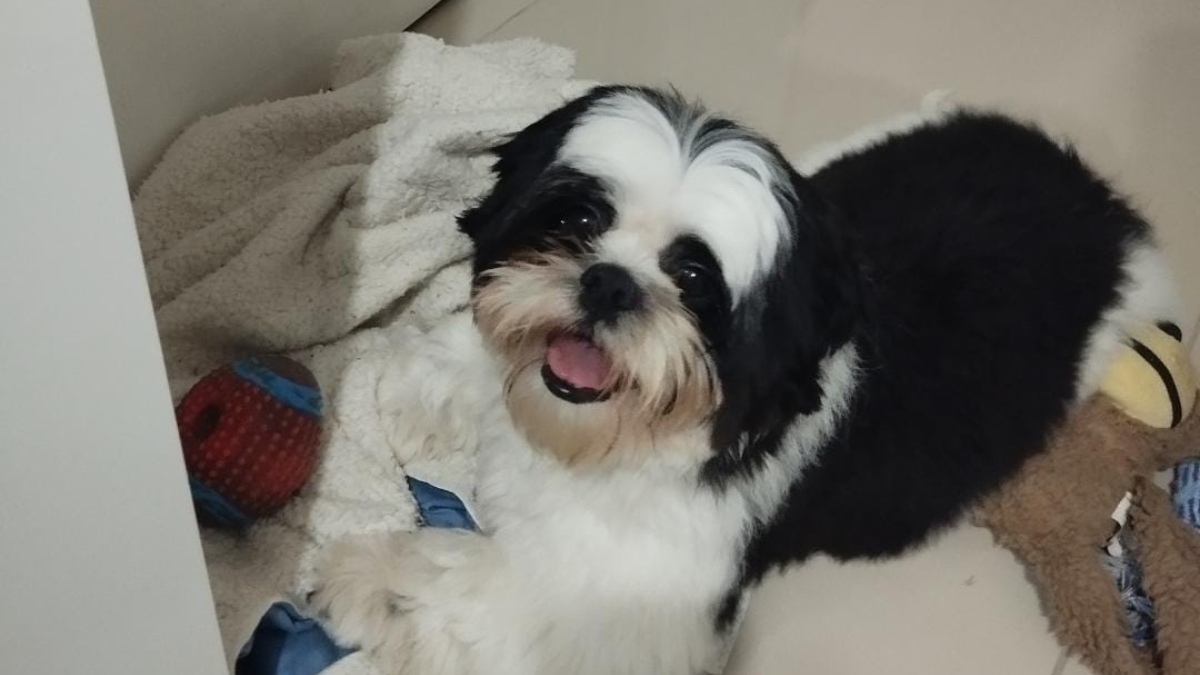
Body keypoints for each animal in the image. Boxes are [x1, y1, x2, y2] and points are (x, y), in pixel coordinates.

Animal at [310, 86, 1180, 674]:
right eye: (580, 218)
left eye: (695, 279)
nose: (609, 283)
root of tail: (1099, 205)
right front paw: (422, 386)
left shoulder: (624, 603)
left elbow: (482, 587)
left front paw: (371, 577)